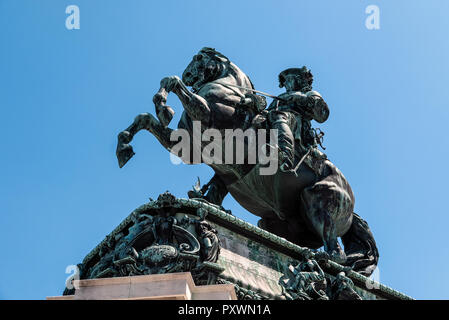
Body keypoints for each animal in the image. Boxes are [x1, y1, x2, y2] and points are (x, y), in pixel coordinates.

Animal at [115, 47, 378, 276]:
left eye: (198, 58)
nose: (189, 74)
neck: (231, 93)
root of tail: (351, 205)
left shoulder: (206, 119)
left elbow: (173, 83)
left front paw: (164, 105)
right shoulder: (187, 146)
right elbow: (145, 117)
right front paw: (125, 144)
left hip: (318, 197)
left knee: (337, 252)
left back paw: (322, 258)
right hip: (272, 223)